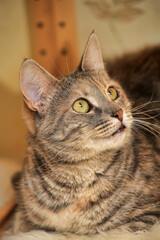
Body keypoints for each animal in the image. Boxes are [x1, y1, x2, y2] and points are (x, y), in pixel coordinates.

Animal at [11, 32, 160, 233]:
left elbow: (115, 231)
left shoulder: (148, 214)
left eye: (112, 92)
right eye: (81, 105)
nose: (119, 113)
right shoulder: (23, 219)